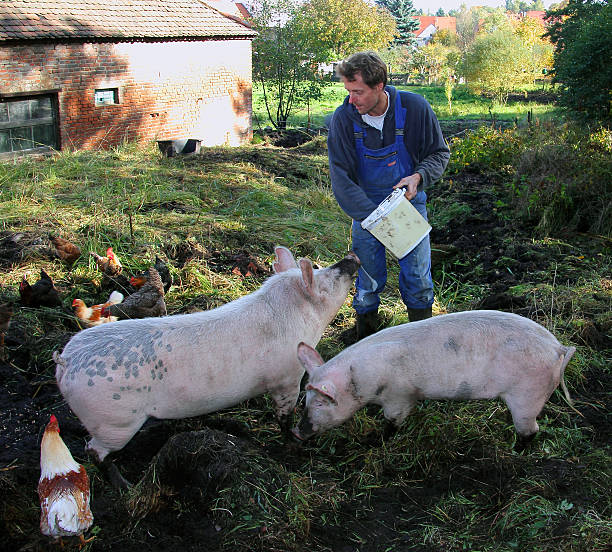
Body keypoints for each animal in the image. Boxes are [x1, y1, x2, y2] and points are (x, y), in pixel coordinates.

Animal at [294, 308, 576, 446]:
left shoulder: (399, 395)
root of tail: (557, 348)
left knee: (531, 431)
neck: (359, 378)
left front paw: (372, 442)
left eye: (320, 402)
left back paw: (515, 450)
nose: (296, 432)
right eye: (304, 400)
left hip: (528, 395)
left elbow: (392, 422)